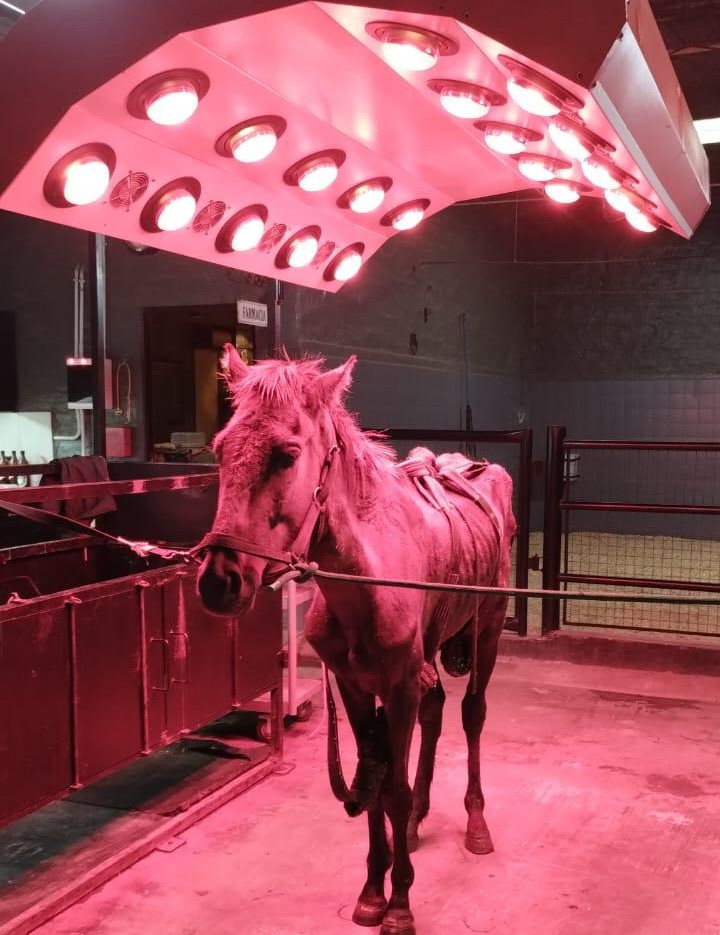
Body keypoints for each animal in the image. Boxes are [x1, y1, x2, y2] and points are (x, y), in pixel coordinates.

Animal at [196, 347, 516, 935]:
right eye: (221, 450)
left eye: (286, 455)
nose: (218, 581)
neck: (364, 582)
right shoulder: (356, 686)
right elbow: (377, 786)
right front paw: (372, 892)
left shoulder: (399, 687)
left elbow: (391, 788)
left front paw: (401, 903)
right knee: (436, 714)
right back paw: (417, 823)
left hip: (486, 632)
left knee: (472, 715)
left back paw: (476, 824)